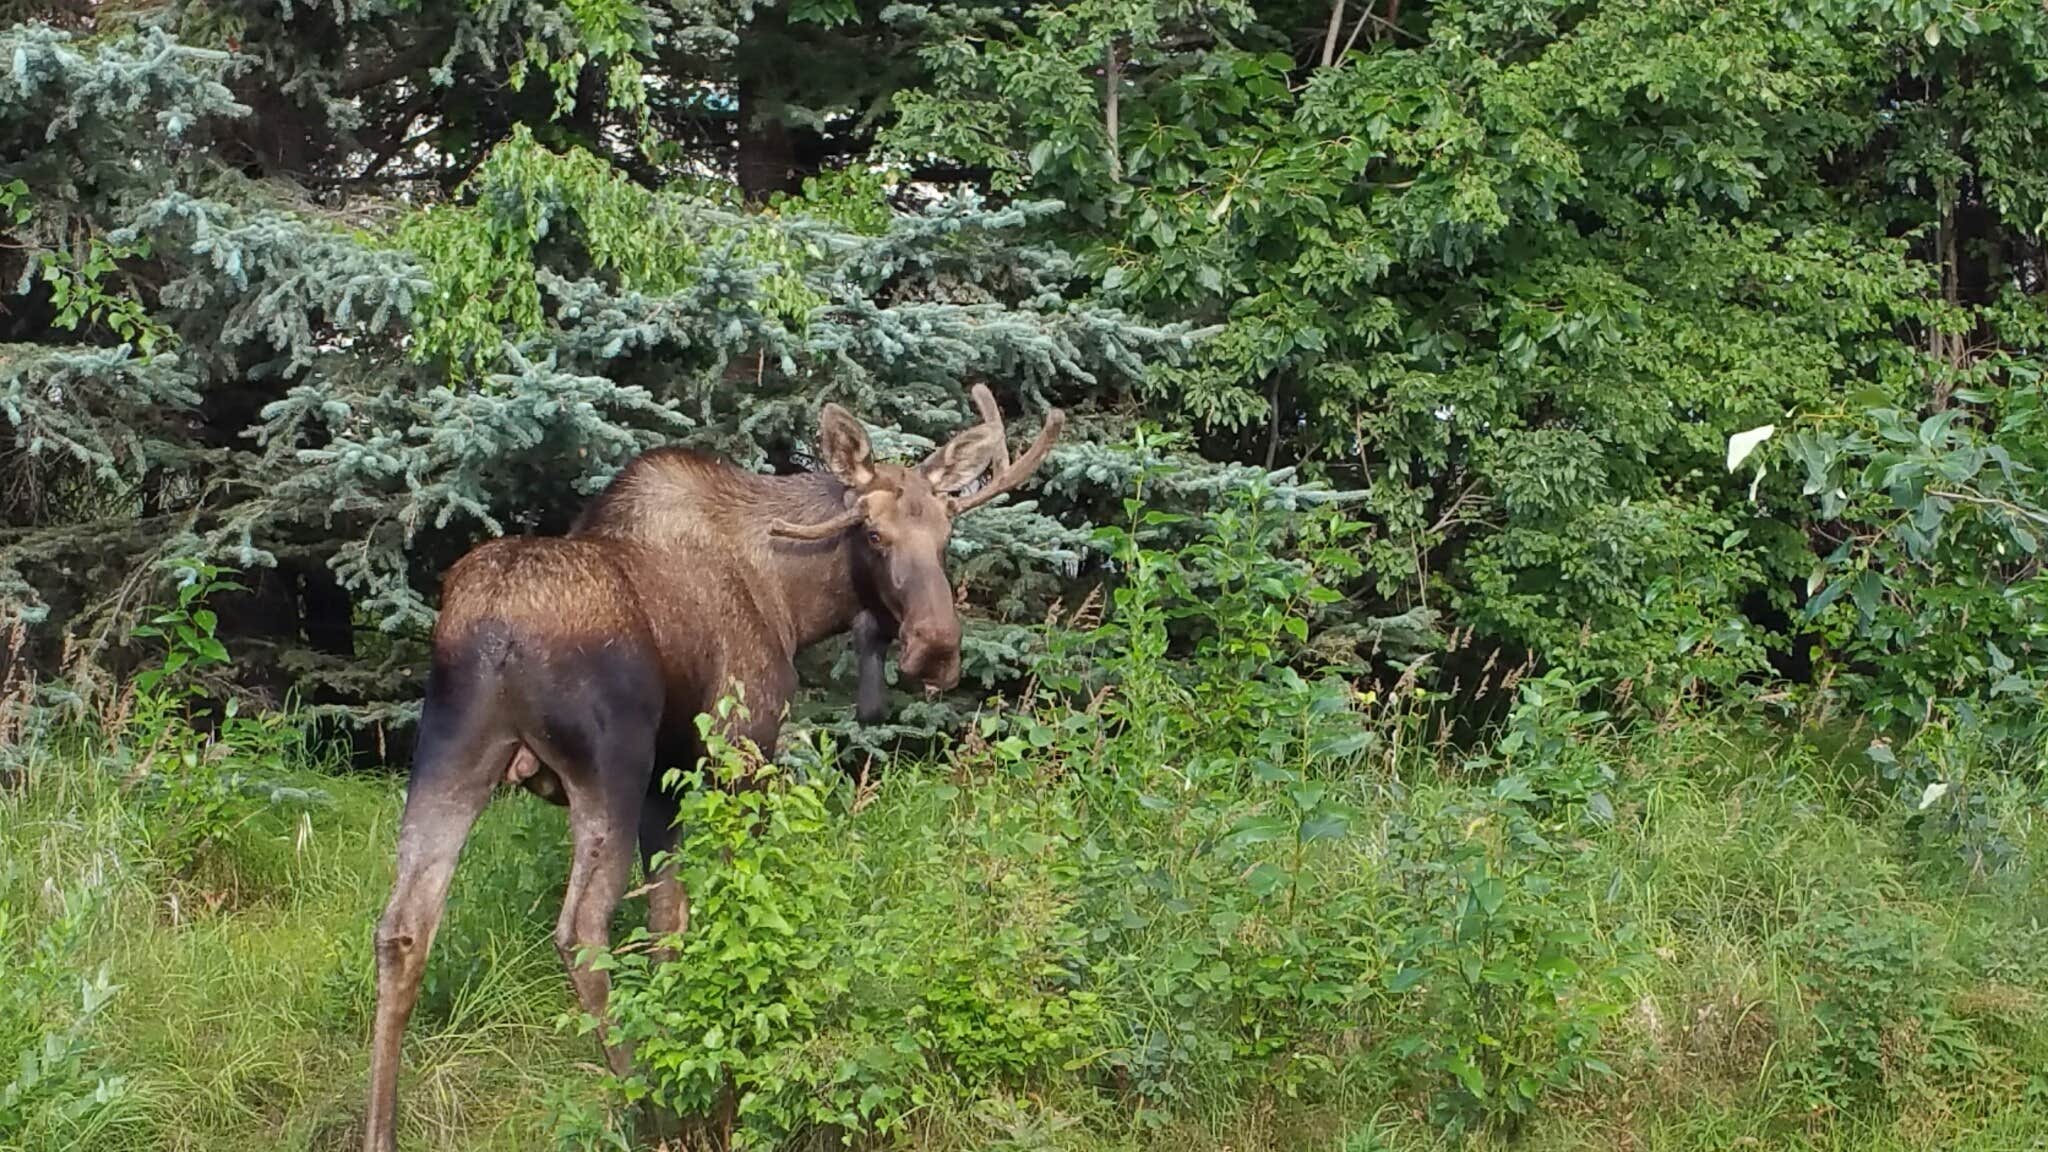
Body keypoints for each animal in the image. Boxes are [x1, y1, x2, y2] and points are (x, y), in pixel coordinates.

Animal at [362, 385, 1064, 1152]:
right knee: (581, 929)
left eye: (946, 536)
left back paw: (382, 1129)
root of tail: (496, 632)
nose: (936, 649)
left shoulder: (663, 787)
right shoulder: (736, 754)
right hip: (608, 763)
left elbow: (668, 920)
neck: (795, 600)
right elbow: (725, 911)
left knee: (404, 925)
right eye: (874, 536)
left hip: (449, 751)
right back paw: (646, 1108)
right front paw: (719, 1078)